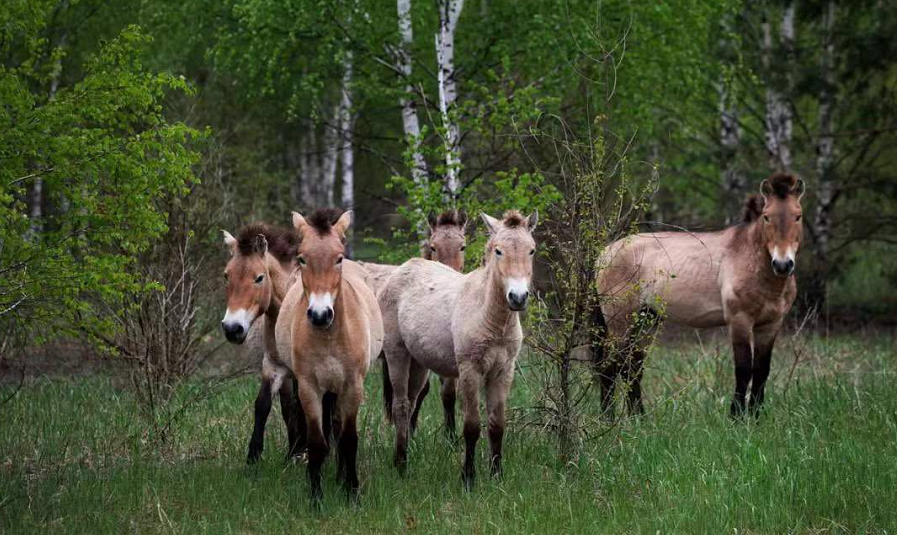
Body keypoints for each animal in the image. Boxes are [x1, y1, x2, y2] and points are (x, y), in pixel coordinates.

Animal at [220, 225, 304, 464]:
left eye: (259, 278)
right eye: (226, 275)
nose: (232, 328)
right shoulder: (274, 366)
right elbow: (264, 405)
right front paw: (254, 457)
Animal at [276, 209, 382, 502]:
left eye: (338, 258)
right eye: (302, 258)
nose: (320, 315)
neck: (329, 338)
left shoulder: (352, 386)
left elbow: (348, 440)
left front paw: (352, 492)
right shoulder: (309, 388)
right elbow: (317, 442)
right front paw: (316, 497)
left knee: (337, 428)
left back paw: (340, 477)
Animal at [358, 211, 468, 438]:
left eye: (462, 246)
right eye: (433, 247)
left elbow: (448, 392)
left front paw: (451, 436)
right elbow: (421, 391)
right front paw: (411, 429)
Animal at [376, 210, 536, 490]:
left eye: (532, 250)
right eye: (498, 251)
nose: (518, 297)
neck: (489, 315)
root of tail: (402, 269)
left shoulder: (503, 371)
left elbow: (497, 425)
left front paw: (497, 476)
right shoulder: (470, 370)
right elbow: (471, 426)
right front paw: (468, 478)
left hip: (419, 364)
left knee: (412, 402)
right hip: (397, 355)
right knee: (401, 406)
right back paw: (401, 464)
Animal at [596, 174, 804, 416]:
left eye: (798, 216)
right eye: (767, 217)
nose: (782, 264)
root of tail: (604, 253)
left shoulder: (770, 325)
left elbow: (761, 371)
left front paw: (755, 416)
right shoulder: (739, 321)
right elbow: (743, 369)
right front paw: (736, 416)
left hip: (647, 320)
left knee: (633, 367)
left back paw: (639, 417)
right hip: (620, 323)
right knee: (610, 367)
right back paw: (607, 419)